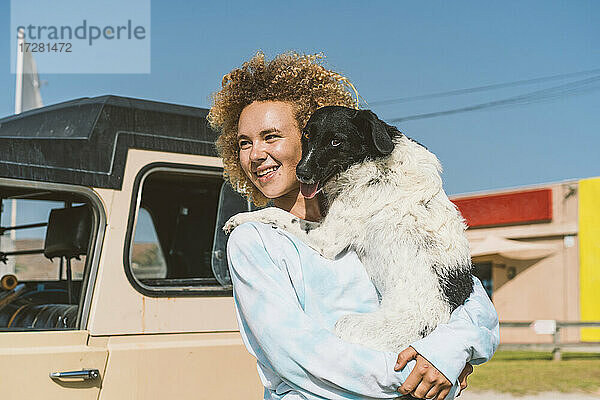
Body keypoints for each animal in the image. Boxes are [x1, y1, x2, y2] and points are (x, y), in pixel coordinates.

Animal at [225, 107, 474, 354]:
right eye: (306, 135)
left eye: (336, 141)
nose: (301, 172)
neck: (373, 158)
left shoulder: (326, 238)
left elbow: (276, 213)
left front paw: (238, 219)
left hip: (347, 324)